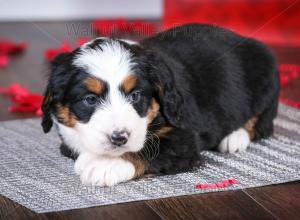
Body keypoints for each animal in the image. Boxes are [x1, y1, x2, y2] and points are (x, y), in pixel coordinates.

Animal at [41, 23, 280, 186]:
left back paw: (234, 137)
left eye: (136, 95)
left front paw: (106, 165)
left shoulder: (183, 137)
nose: (119, 137)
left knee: (262, 122)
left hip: (265, 75)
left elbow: (148, 148)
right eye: (90, 99)